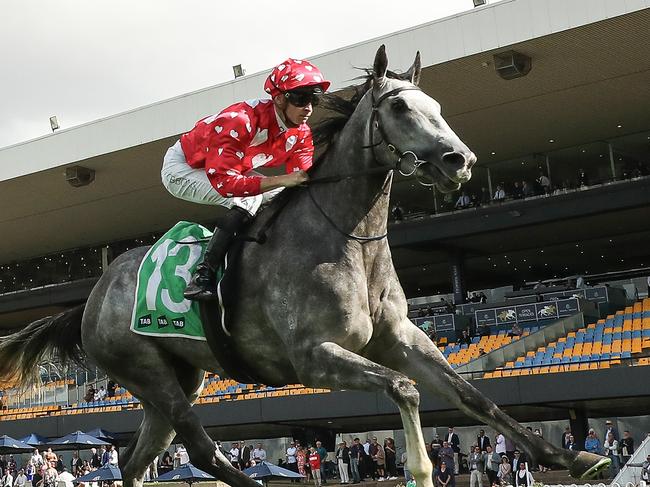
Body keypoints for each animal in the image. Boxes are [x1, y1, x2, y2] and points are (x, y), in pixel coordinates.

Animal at [0, 46, 608, 487]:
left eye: (436, 104)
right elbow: (405, 390)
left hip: (175, 379)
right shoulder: (312, 357)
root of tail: (94, 293)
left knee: (137, 460)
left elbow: (472, 395)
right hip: (145, 367)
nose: (459, 160)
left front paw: (575, 459)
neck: (349, 240)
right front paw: (421, 470)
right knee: (203, 449)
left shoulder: (402, 339)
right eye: (400, 108)